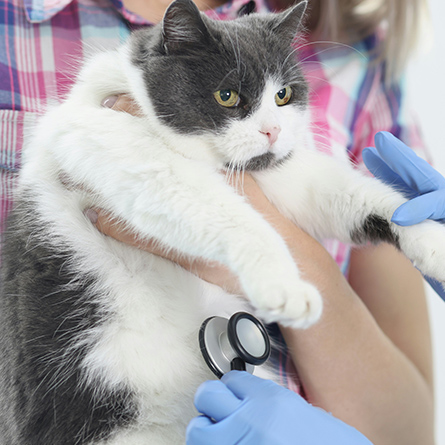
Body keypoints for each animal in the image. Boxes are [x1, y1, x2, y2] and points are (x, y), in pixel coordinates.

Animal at [0, 0, 444, 442]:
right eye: (227, 96)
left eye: (283, 95)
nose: (272, 131)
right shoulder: (110, 141)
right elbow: (221, 208)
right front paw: (284, 285)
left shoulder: (281, 175)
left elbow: (351, 194)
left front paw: (430, 239)